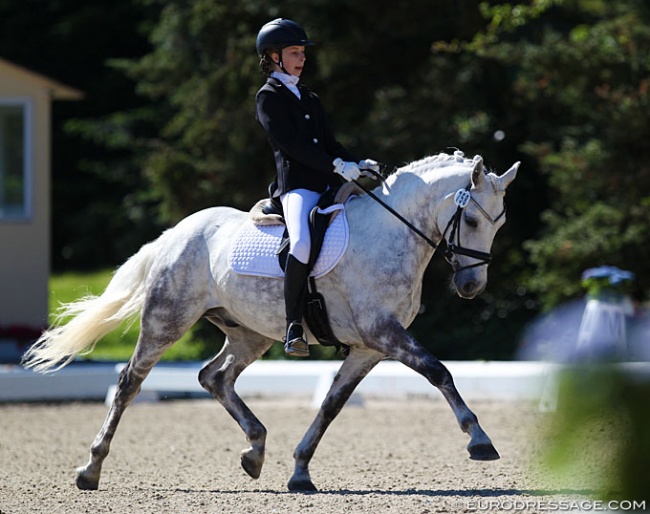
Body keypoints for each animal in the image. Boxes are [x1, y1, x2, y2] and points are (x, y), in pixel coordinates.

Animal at [24, 150, 516, 490]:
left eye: (499, 224)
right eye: (472, 220)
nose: (471, 286)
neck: (391, 233)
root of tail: (176, 232)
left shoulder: (368, 347)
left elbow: (332, 404)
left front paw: (299, 471)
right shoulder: (384, 333)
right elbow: (439, 371)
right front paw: (479, 440)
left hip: (251, 334)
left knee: (214, 377)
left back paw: (255, 450)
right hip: (167, 320)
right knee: (130, 382)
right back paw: (90, 469)